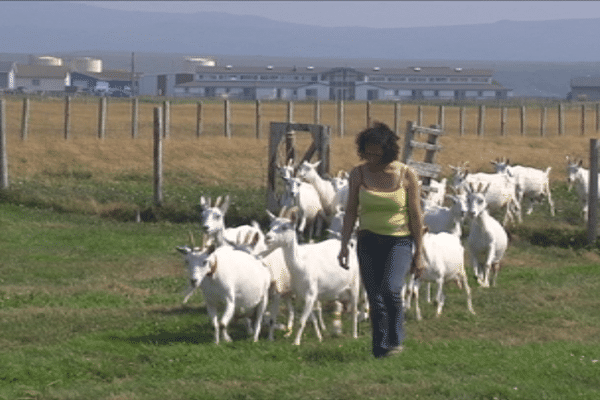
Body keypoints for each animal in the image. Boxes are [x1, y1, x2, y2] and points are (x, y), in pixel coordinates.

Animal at [264, 208, 358, 346]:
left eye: (284, 227)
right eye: (271, 225)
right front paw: (319, 337)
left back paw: (354, 335)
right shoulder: (304, 295)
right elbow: (311, 318)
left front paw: (296, 342)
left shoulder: (311, 292)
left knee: (355, 310)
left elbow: (301, 321)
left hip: (355, 284)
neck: (300, 265)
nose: (267, 237)